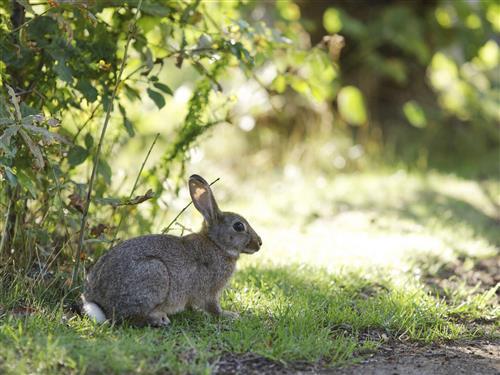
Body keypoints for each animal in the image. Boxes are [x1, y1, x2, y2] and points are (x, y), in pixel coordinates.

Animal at [82, 175, 262, 328]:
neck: (216, 244)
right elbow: (213, 307)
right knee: (126, 317)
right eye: (238, 226)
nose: (259, 243)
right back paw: (159, 319)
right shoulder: (209, 292)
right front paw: (229, 315)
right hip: (154, 272)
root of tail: (95, 299)